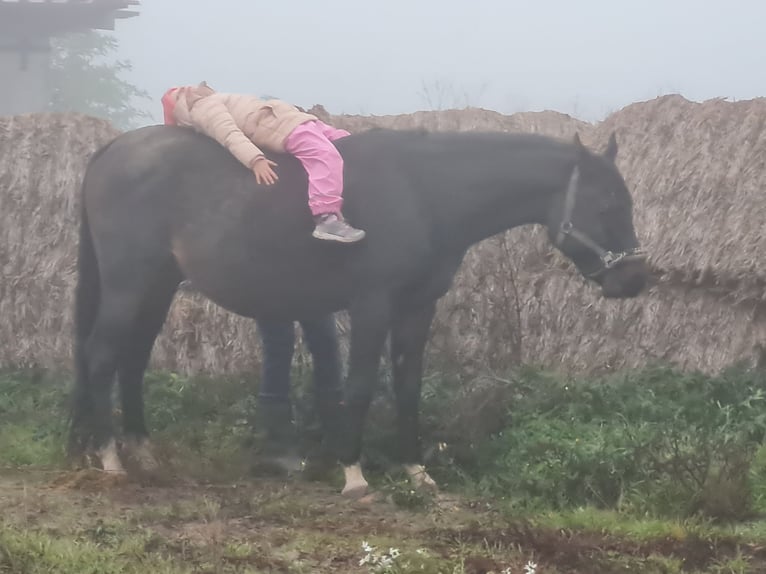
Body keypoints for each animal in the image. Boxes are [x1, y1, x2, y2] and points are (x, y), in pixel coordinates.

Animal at [67, 124, 648, 497]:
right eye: (606, 205)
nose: (635, 279)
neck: (424, 191)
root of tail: (111, 149)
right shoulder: (373, 304)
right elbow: (362, 386)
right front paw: (354, 475)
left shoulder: (416, 309)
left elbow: (408, 387)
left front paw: (417, 472)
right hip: (129, 284)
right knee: (101, 356)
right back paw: (111, 459)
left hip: (157, 288)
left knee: (132, 360)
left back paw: (142, 451)